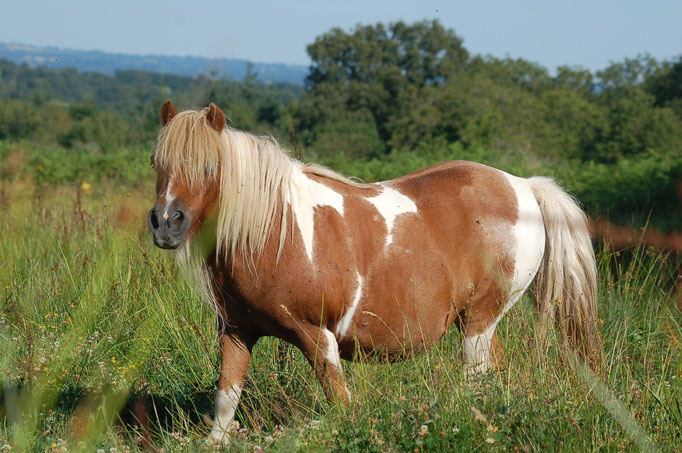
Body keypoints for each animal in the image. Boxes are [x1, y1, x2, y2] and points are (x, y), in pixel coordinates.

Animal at [147, 100, 600, 444]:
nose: (166, 223)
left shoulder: (317, 336)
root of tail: (524, 184)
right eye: (156, 163)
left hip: (480, 320)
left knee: (475, 380)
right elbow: (225, 405)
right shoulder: (237, 332)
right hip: (476, 322)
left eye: (210, 166)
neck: (272, 230)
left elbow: (339, 409)